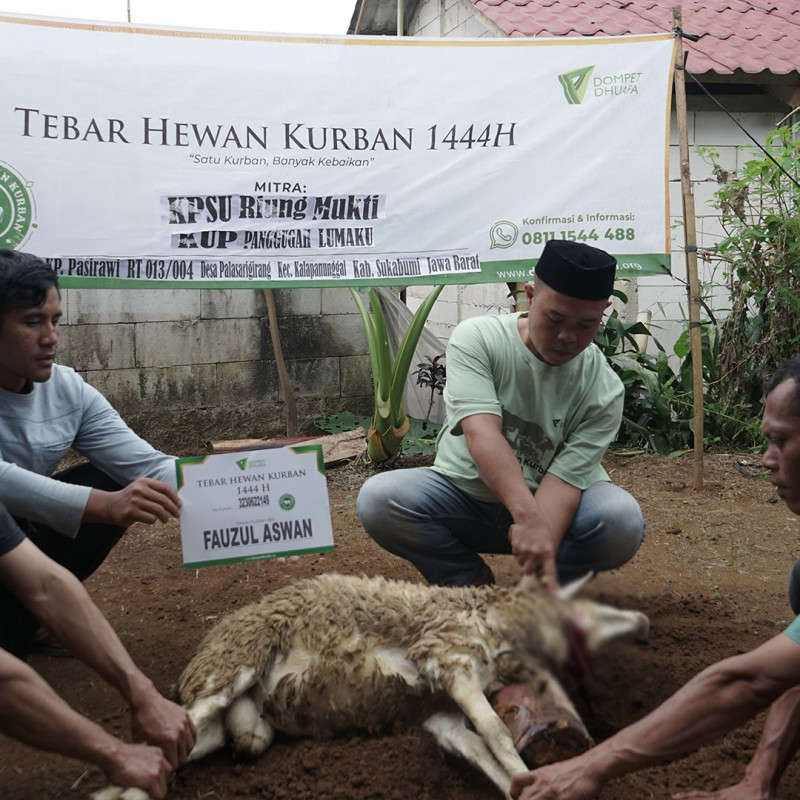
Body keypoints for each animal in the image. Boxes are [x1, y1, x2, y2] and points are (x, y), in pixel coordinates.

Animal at [89, 572, 648, 800]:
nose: (640, 624)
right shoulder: (445, 658)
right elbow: (497, 733)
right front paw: (531, 777)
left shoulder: (440, 712)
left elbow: (479, 749)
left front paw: (524, 786)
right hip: (232, 666)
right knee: (170, 733)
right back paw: (118, 791)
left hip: (230, 723)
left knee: (193, 743)